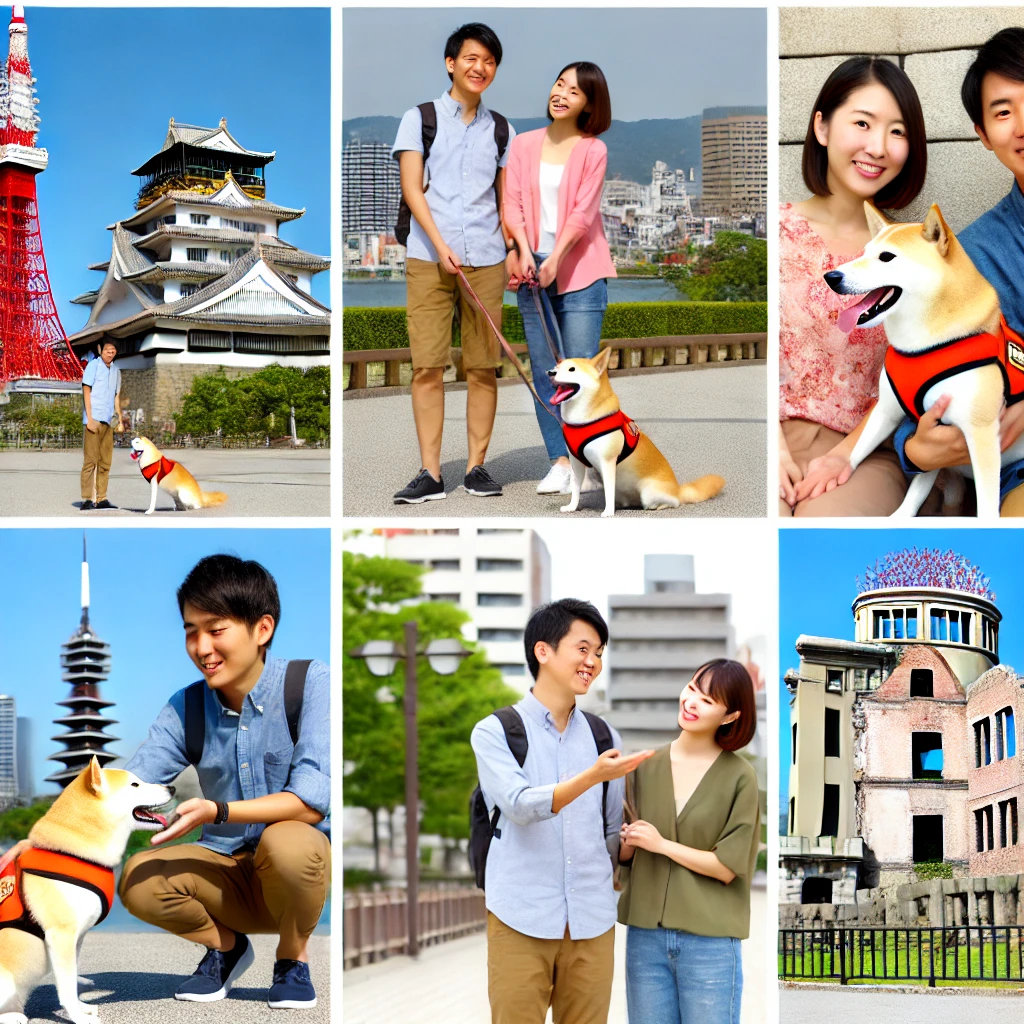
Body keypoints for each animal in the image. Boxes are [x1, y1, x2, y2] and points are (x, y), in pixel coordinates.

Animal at [0, 757, 173, 1024]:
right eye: (135, 784)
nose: (172, 788)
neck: (73, 852)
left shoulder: (77, 937)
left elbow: (72, 980)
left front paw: (81, 1008)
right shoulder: (61, 936)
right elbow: (67, 985)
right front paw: (78, 1017)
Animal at [548, 348, 724, 516]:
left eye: (572, 369)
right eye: (557, 366)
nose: (550, 372)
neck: (582, 421)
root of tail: (678, 489)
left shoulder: (608, 462)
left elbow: (608, 492)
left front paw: (608, 512)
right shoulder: (576, 462)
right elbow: (576, 488)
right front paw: (572, 507)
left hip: (649, 492)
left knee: (674, 502)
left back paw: (657, 506)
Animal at [823, 203, 1024, 520]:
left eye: (886, 257)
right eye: (864, 252)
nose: (830, 277)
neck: (921, 347)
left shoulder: (981, 433)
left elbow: (987, 509)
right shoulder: (889, 411)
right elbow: (861, 447)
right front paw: (838, 469)